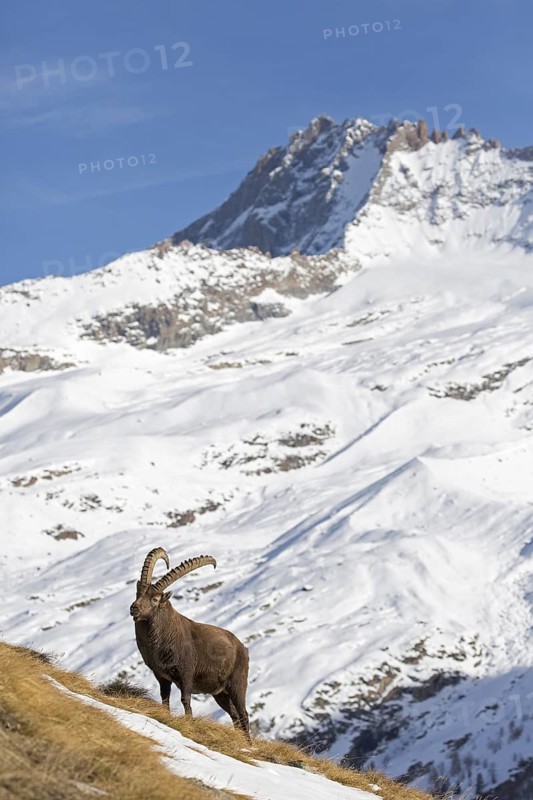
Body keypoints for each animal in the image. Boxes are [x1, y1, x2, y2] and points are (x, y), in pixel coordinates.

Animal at [130, 547, 250, 738]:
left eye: (155, 599)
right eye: (138, 593)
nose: (134, 608)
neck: (162, 639)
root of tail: (243, 649)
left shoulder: (186, 673)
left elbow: (185, 700)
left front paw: (189, 725)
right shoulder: (161, 676)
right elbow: (165, 698)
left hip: (237, 684)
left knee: (244, 714)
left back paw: (249, 743)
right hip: (220, 693)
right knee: (235, 716)